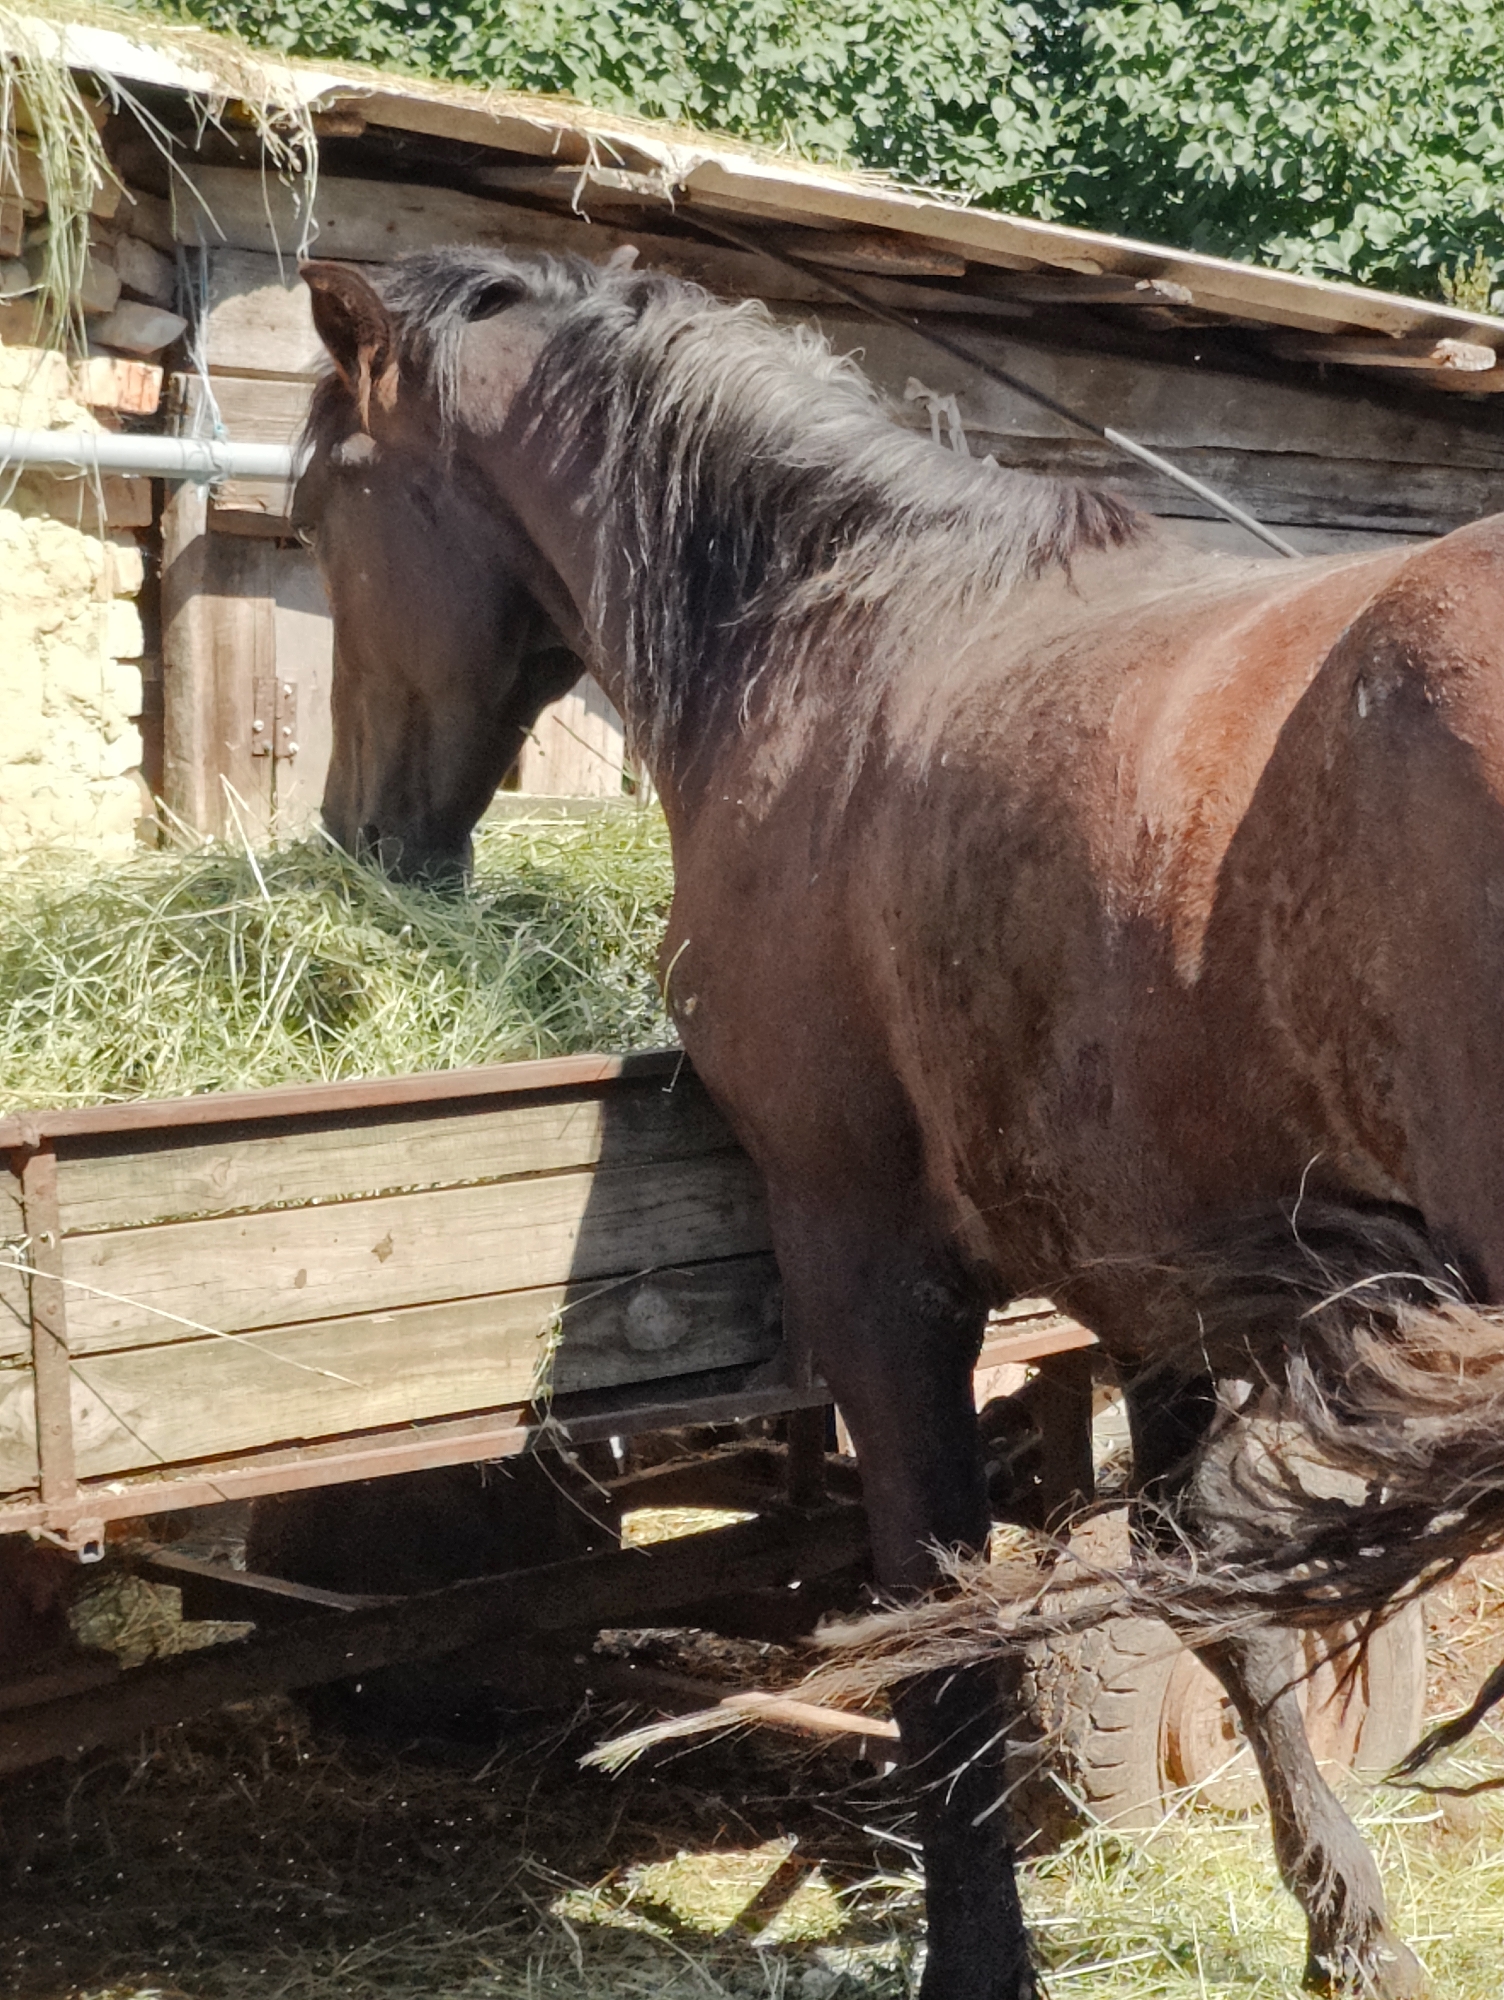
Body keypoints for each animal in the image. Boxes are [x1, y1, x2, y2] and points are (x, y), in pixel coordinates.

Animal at [291, 245, 1504, 1998]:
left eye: (319, 509)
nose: (360, 838)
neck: (843, 631)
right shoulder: (1150, 1288)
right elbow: (1219, 1603)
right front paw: (1351, 1933)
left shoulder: (870, 1270)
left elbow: (945, 1636)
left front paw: (980, 1956)